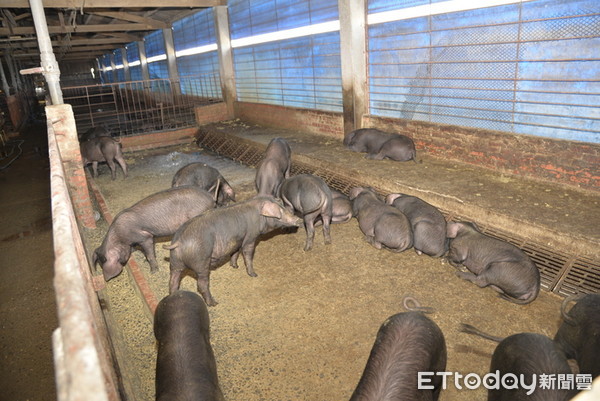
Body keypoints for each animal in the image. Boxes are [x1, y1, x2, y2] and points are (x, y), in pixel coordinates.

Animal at [164, 195, 302, 304]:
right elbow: (248, 254)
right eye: (280, 211)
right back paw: (214, 303)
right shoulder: (250, 237)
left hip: (174, 262)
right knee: (201, 284)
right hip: (201, 261)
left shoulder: (238, 240)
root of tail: (178, 241)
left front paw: (235, 266)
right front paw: (254, 274)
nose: (298, 220)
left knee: (173, 281)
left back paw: (173, 296)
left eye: (283, 206)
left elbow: (235, 252)